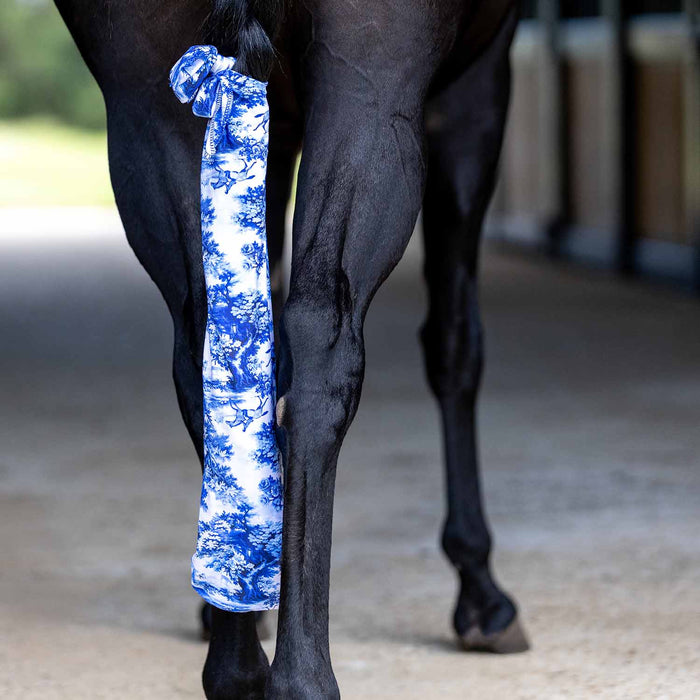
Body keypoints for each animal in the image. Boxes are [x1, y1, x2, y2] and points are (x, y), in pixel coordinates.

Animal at [54, 0, 526, 696]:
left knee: (207, 342)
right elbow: (454, 344)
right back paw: (301, 676)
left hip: (147, 97)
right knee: (325, 343)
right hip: (371, 82)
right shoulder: (473, 91)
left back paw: (236, 664)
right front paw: (482, 593)